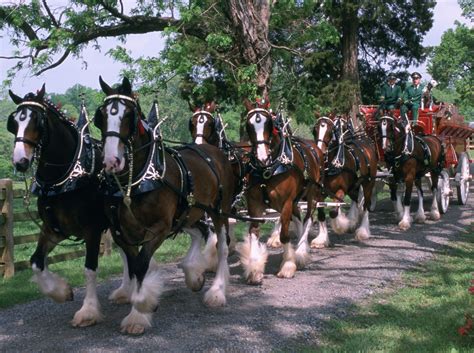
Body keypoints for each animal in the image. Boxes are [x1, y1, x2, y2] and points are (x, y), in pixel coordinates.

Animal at [5, 84, 109, 324]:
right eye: (13, 122)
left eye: (37, 121)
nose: (20, 162)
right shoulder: (54, 229)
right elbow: (36, 261)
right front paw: (61, 291)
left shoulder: (92, 229)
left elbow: (90, 268)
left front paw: (88, 311)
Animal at [93, 76, 234, 332]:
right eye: (102, 116)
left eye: (128, 115)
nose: (111, 161)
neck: (136, 182)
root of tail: (214, 150)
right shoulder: (121, 233)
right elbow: (134, 265)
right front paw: (139, 301)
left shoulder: (158, 229)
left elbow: (141, 264)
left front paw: (139, 312)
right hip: (190, 211)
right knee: (200, 232)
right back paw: (193, 274)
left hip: (219, 210)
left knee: (221, 245)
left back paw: (217, 292)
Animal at [239, 98, 324, 284]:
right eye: (248, 125)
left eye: (268, 124)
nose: (262, 158)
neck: (269, 168)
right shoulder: (254, 204)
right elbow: (253, 232)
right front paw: (255, 269)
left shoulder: (286, 202)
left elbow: (284, 235)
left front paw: (288, 266)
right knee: (298, 219)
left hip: (312, 194)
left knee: (308, 218)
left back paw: (300, 252)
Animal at [312, 113, 380, 245]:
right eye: (315, 130)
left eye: (331, 131)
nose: (320, 152)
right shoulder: (319, 193)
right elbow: (321, 214)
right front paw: (321, 239)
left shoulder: (341, 190)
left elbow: (333, 212)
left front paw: (341, 226)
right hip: (353, 186)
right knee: (357, 200)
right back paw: (354, 222)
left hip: (368, 183)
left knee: (366, 205)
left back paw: (362, 231)